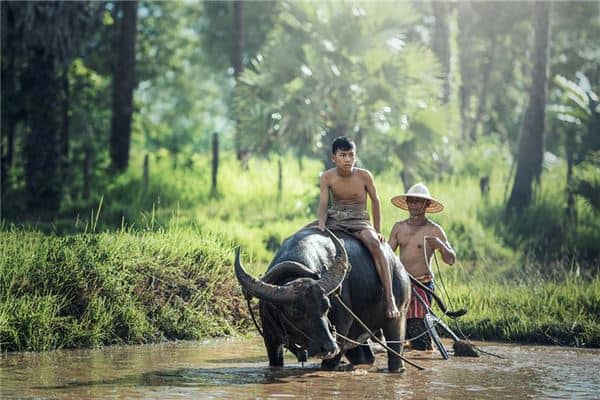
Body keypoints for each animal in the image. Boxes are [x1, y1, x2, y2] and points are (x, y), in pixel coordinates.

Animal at [236, 227, 412, 370]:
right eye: (296, 311)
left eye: (327, 307)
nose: (329, 347)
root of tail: (399, 265)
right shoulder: (271, 341)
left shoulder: (340, 335)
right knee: (365, 357)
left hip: (398, 317)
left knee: (395, 353)